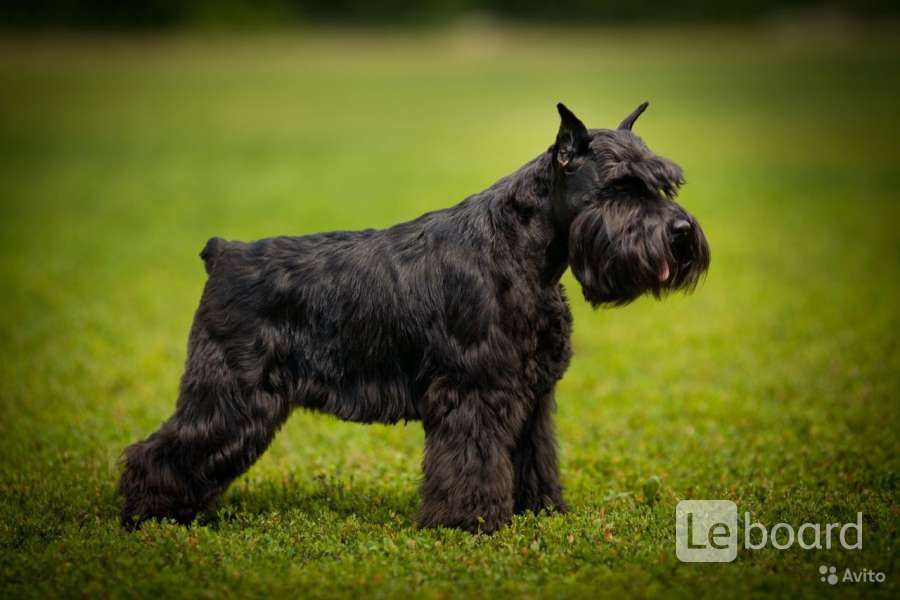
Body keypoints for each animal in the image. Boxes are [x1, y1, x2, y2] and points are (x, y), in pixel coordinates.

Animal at [118, 103, 712, 536]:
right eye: (619, 187)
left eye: (665, 185)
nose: (681, 232)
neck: (521, 250)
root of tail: (223, 254)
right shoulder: (473, 392)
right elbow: (472, 463)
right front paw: (469, 523)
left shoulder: (531, 395)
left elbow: (532, 458)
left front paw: (540, 511)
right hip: (231, 396)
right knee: (163, 450)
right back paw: (148, 516)